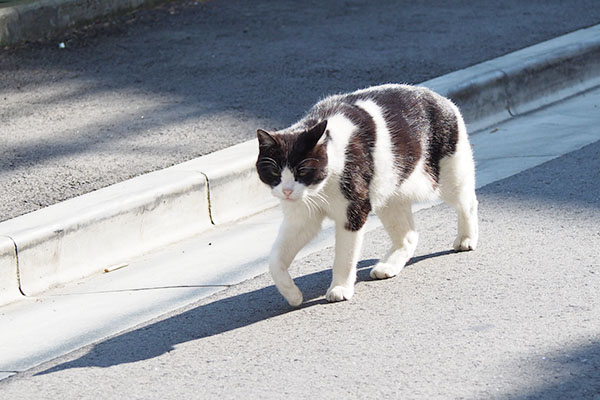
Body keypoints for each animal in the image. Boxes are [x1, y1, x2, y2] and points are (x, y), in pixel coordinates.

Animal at [256, 83, 478, 306]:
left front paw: (340, 288)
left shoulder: (353, 213)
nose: (287, 190)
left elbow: (344, 256)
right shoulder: (301, 219)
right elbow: (274, 260)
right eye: (274, 172)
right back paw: (388, 266)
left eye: (302, 171)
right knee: (409, 236)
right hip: (389, 196)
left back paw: (466, 238)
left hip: (447, 177)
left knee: (468, 202)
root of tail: (440, 97)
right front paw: (292, 294)